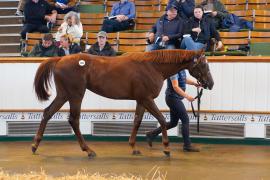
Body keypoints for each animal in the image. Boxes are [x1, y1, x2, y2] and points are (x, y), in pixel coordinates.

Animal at [32, 48, 213, 158]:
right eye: (203, 64)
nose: (210, 84)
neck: (152, 66)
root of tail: (60, 59)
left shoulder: (141, 100)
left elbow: (137, 121)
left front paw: (133, 147)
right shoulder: (147, 99)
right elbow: (162, 119)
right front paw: (166, 148)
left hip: (64, 95)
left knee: (47, 113)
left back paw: (35, 145)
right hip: (76, 95)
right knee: (73, 120)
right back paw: (88, 150)